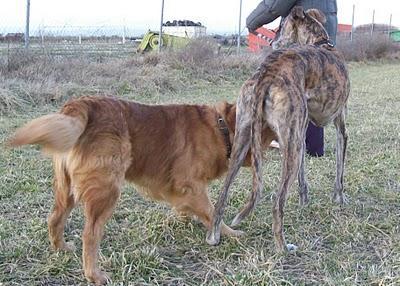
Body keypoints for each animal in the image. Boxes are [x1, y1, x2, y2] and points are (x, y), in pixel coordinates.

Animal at [7, 95, 276, 284]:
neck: (220, 129)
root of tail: (82, 104)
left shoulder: (182, 189)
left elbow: (193, 209)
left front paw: (185, 218)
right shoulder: (190, 185)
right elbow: (213, 213)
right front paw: (228, 233)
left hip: (67, 189)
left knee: (55, 218)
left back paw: (60, 248)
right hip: (107, 191)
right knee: (90, 234)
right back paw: (94, 275)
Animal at [209, 7, 350, 252]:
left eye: (280, 26)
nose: (273, 40)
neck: (320, 43)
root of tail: (267, 73)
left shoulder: (301, 133)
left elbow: (303, 176)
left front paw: (304, 201)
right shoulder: (340, 127)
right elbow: (339, 172)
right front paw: (339, 199)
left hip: (245, 141)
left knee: (222, 196)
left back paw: (214, 236)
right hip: (288, 147)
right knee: (277, 202)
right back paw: (283, 247)